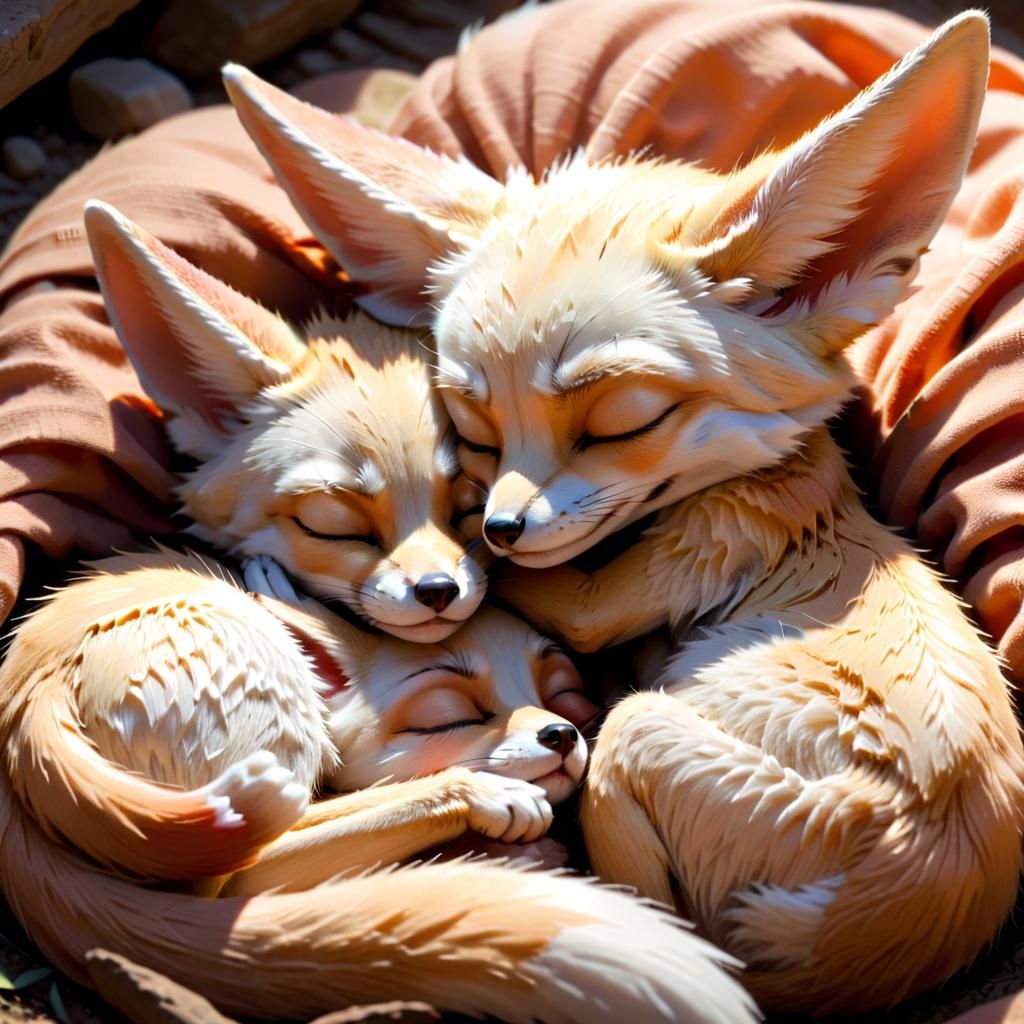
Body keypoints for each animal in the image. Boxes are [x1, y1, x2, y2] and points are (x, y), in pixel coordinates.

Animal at [0, 547, 758, 1023]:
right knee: (238, 876)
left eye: (567, 700)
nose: (561, 736)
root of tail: (30, 705)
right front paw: (488, 803)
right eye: (449, 718)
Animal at [222, 11, 1024, 1016]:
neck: (787, 479)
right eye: (474, 428)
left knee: (664, 895)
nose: (500, 529)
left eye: (623, 421)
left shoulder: (686, 553)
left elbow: (555, 601)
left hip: (640, 736)